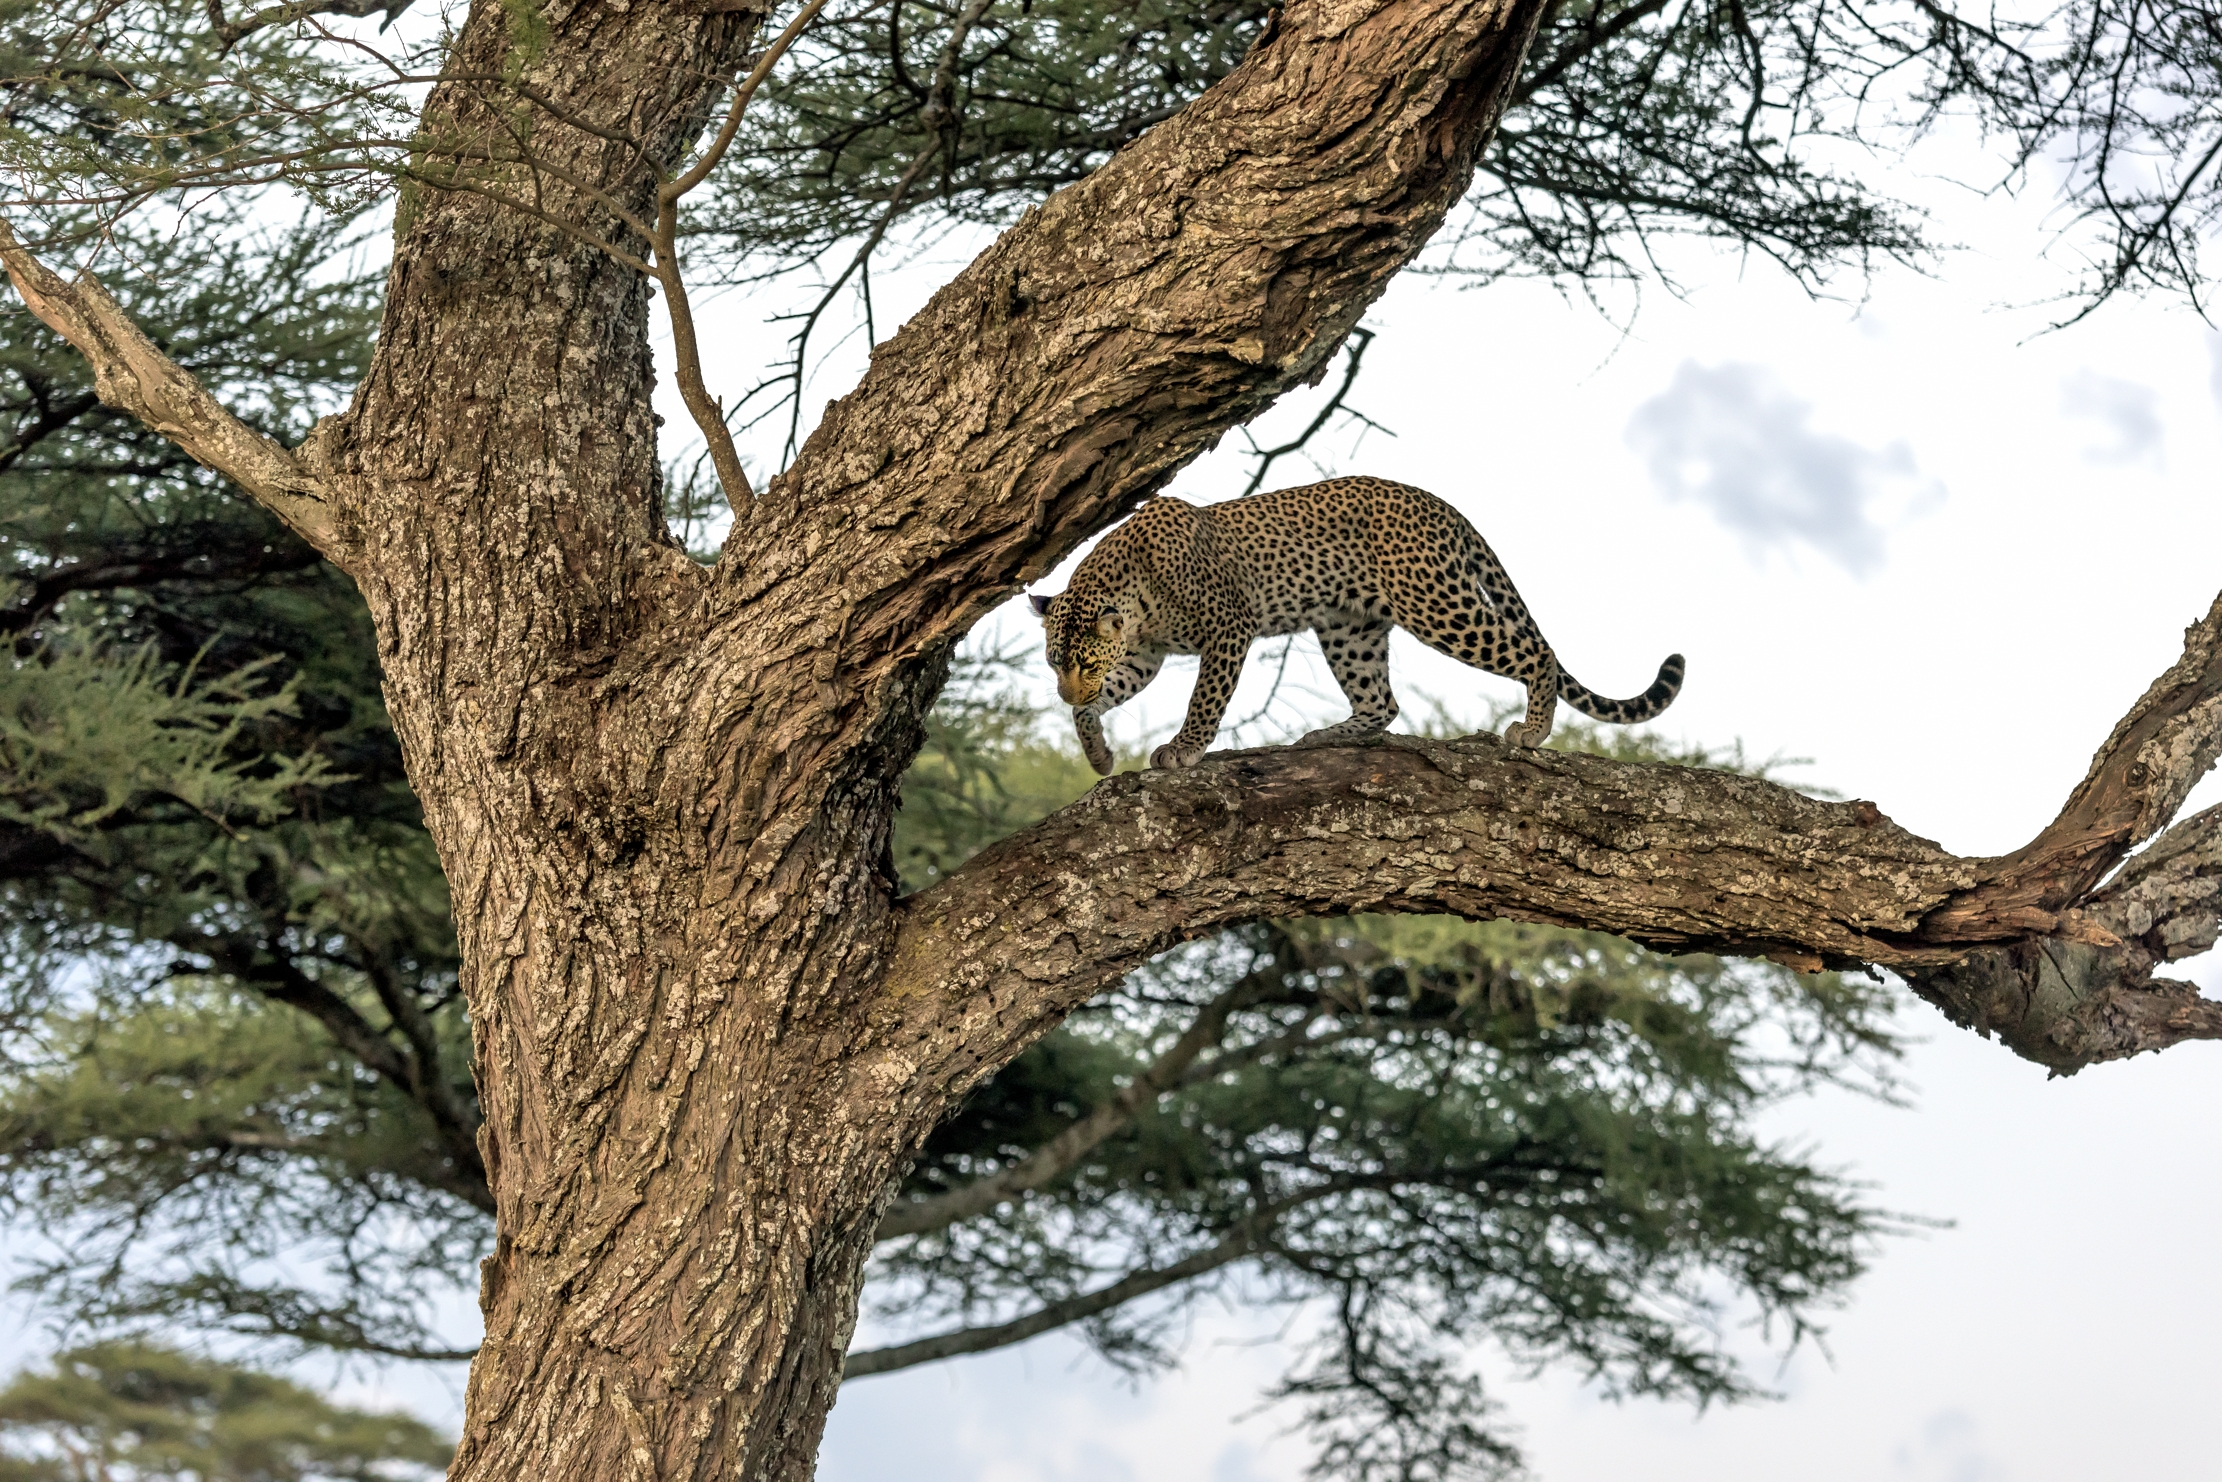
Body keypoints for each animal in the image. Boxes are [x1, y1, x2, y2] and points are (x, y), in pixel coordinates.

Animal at [1029, 476, 1684, 775]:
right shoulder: (1143, 655)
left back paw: (1532, 732)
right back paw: (1329, 737)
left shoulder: (1228, 630)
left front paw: (1183, 750)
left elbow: (1204, 700)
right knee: (1382, 702)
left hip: (1437, 604)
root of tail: (1441, 504)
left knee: (1533, 652)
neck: (1132, 596)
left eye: (1080, 660)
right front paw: (1097, 752)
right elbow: (1103, 700)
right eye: (1056, 664)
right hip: (1351, 628)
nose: (1066, 689)